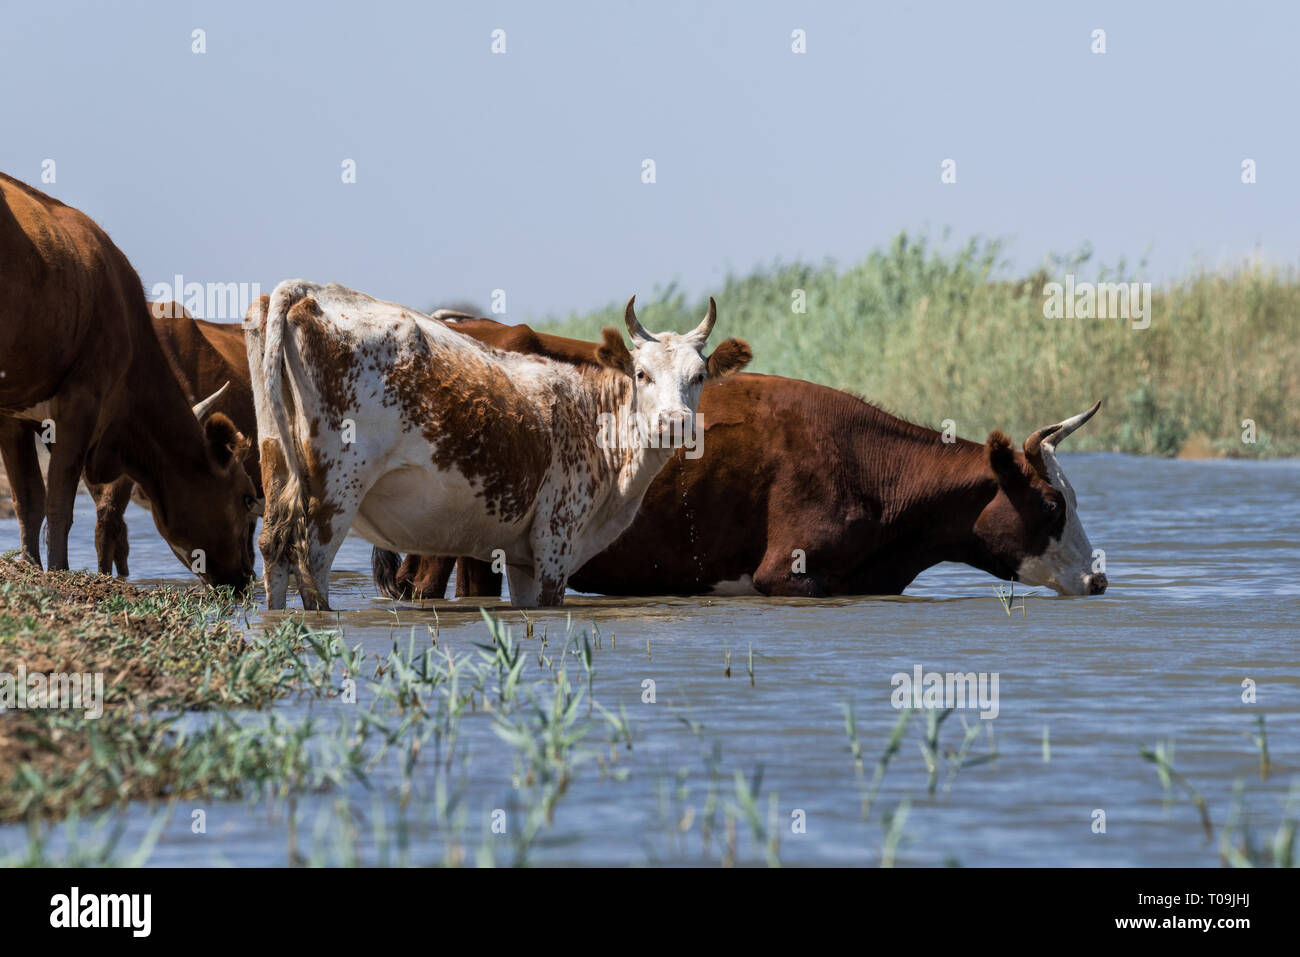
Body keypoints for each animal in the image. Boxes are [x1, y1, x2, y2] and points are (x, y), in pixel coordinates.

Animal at [244, 280, 751, 610]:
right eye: (641, 374)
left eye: (698, 376)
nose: (674, 423)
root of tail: (312, 292)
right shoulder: (555, 541)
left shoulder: (525, 560)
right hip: (336, 493)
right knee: (309, 560)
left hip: (279, 464)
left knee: (273, 550)